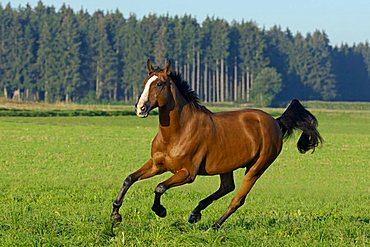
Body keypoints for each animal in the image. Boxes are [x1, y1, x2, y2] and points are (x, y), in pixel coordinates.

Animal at [111, 59, 322, 230]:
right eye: (145, 83)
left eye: (160, 84)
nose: (140, 108)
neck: (177, 132)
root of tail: (276, 122)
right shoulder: (157, 164)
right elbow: (129, 179)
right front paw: (115, 215)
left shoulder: (188, 173)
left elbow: (160, 187)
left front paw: (160, 210)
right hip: (226, 165)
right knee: (227, 187)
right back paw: (195, 214)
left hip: (257, 168)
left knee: (237, 199)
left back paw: (213, 226)